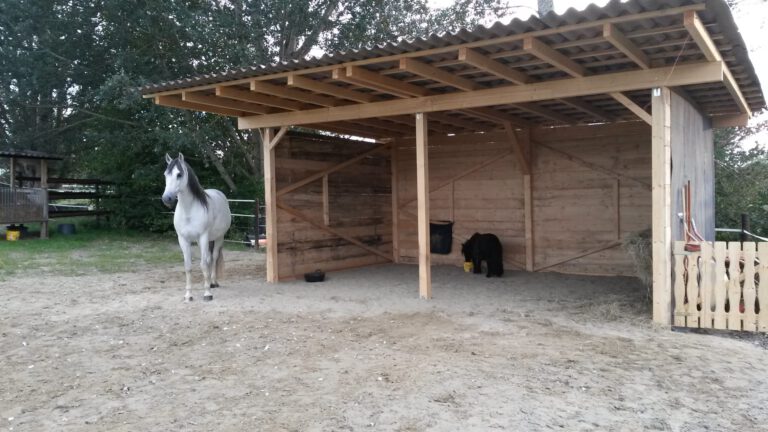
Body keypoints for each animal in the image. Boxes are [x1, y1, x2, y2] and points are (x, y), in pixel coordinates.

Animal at [162, 153, 231, 300]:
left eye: (179, 174)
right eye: (165, 174)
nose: (167, 198)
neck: (189, 211)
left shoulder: (203, 237)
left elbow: (203, 264)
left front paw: (207, 294)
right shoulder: (183, 239)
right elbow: (188, 266)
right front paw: (188, 295)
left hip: (218, 238)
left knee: (214, 258)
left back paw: (213, 282)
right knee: (209, 259)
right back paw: (209, 283)